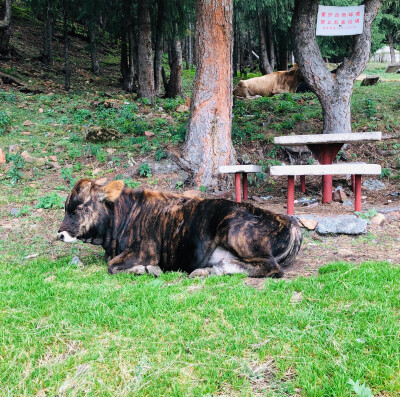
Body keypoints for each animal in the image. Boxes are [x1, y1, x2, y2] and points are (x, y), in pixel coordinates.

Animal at [56, 178, 302, 276]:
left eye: (79, 207)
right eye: (65, 207)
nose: (60, 234)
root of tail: (289, 220)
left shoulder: (145, 251)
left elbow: (113, 266)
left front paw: (147, 270)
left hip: (234, 231)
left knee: (271, 268)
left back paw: (214, 269)